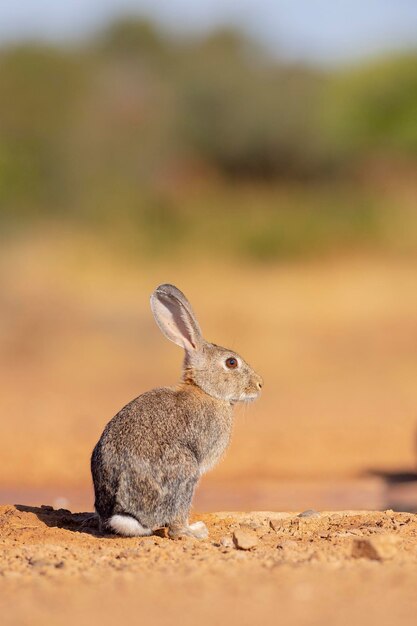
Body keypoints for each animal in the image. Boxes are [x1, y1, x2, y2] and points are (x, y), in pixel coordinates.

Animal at [90, 282, 262, 536]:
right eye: (231, 363)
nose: (260, 385)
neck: (206, 390)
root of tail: (125, 514)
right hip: (186, 470)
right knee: (175, 526)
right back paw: (195, 531)